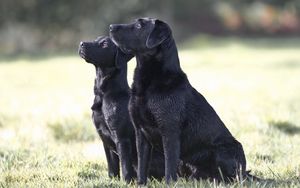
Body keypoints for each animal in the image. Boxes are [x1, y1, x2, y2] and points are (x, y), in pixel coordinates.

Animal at [77, 36, 164, 183]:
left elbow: (125, 167)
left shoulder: (121, 138)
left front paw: (126, 183)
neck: (104, 95)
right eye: (96, 39)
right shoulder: (105, 139)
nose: (81, 43)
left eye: (105, 44)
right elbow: (112, 168)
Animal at [109, 18, 250, 184]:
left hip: (224, 151)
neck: (150, 84)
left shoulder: (169, 131)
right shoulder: (140, 133)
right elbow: (142, 165)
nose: (111, 27)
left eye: (138, 26)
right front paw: (141, 184)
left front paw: (169, 184)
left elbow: (169, 166)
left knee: (231, 176)